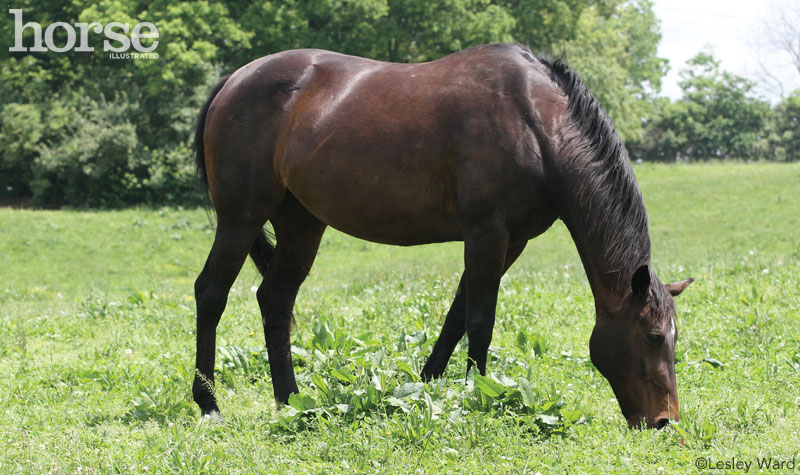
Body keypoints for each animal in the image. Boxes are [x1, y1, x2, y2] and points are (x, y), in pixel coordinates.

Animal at [191, 42, 692, 430]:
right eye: (653, 337)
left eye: (674, 337)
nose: (665, 421)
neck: (536, 122)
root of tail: (234, 80)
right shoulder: (487, 232)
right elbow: (480, 320)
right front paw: (479, 395)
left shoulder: (511, 240)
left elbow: (456, 316)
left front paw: (427, 385)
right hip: (241, 218)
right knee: (211, 293)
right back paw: (209, 404)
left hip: (301, 224)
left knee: (275, 299)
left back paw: (291, 400)